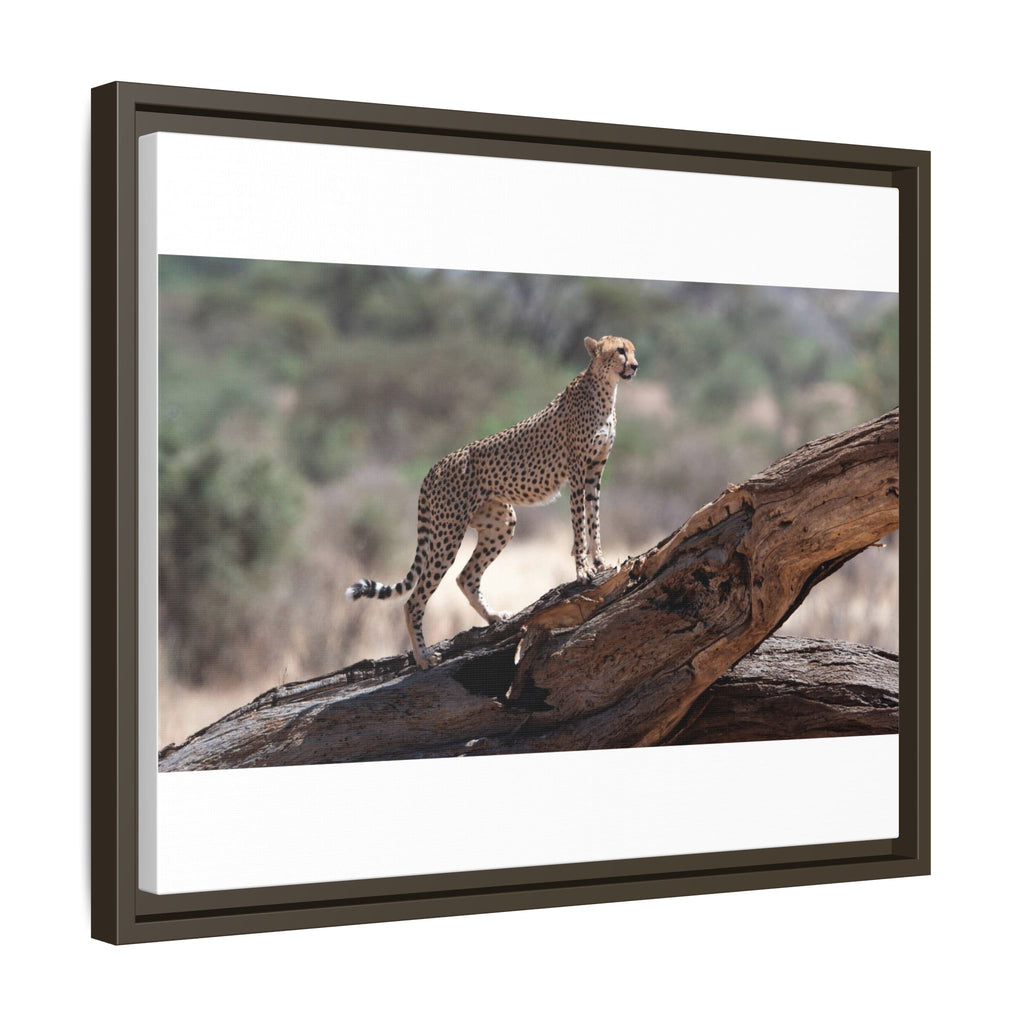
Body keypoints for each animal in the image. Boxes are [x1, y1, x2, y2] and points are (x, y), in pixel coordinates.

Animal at [346, 334, 639, 669]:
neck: (605, 389)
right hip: (448, 534)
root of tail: (435, 466)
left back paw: (494, 617)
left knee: (466, 577)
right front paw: (582, 570)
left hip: (500, 522)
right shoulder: (577, 471)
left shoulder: (594, 471)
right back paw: (423, 657)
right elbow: (579, 523)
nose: (634, 365)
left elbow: (594, 518)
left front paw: (600, 560)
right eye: (620, 351)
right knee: (414, 599)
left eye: (632, 350)